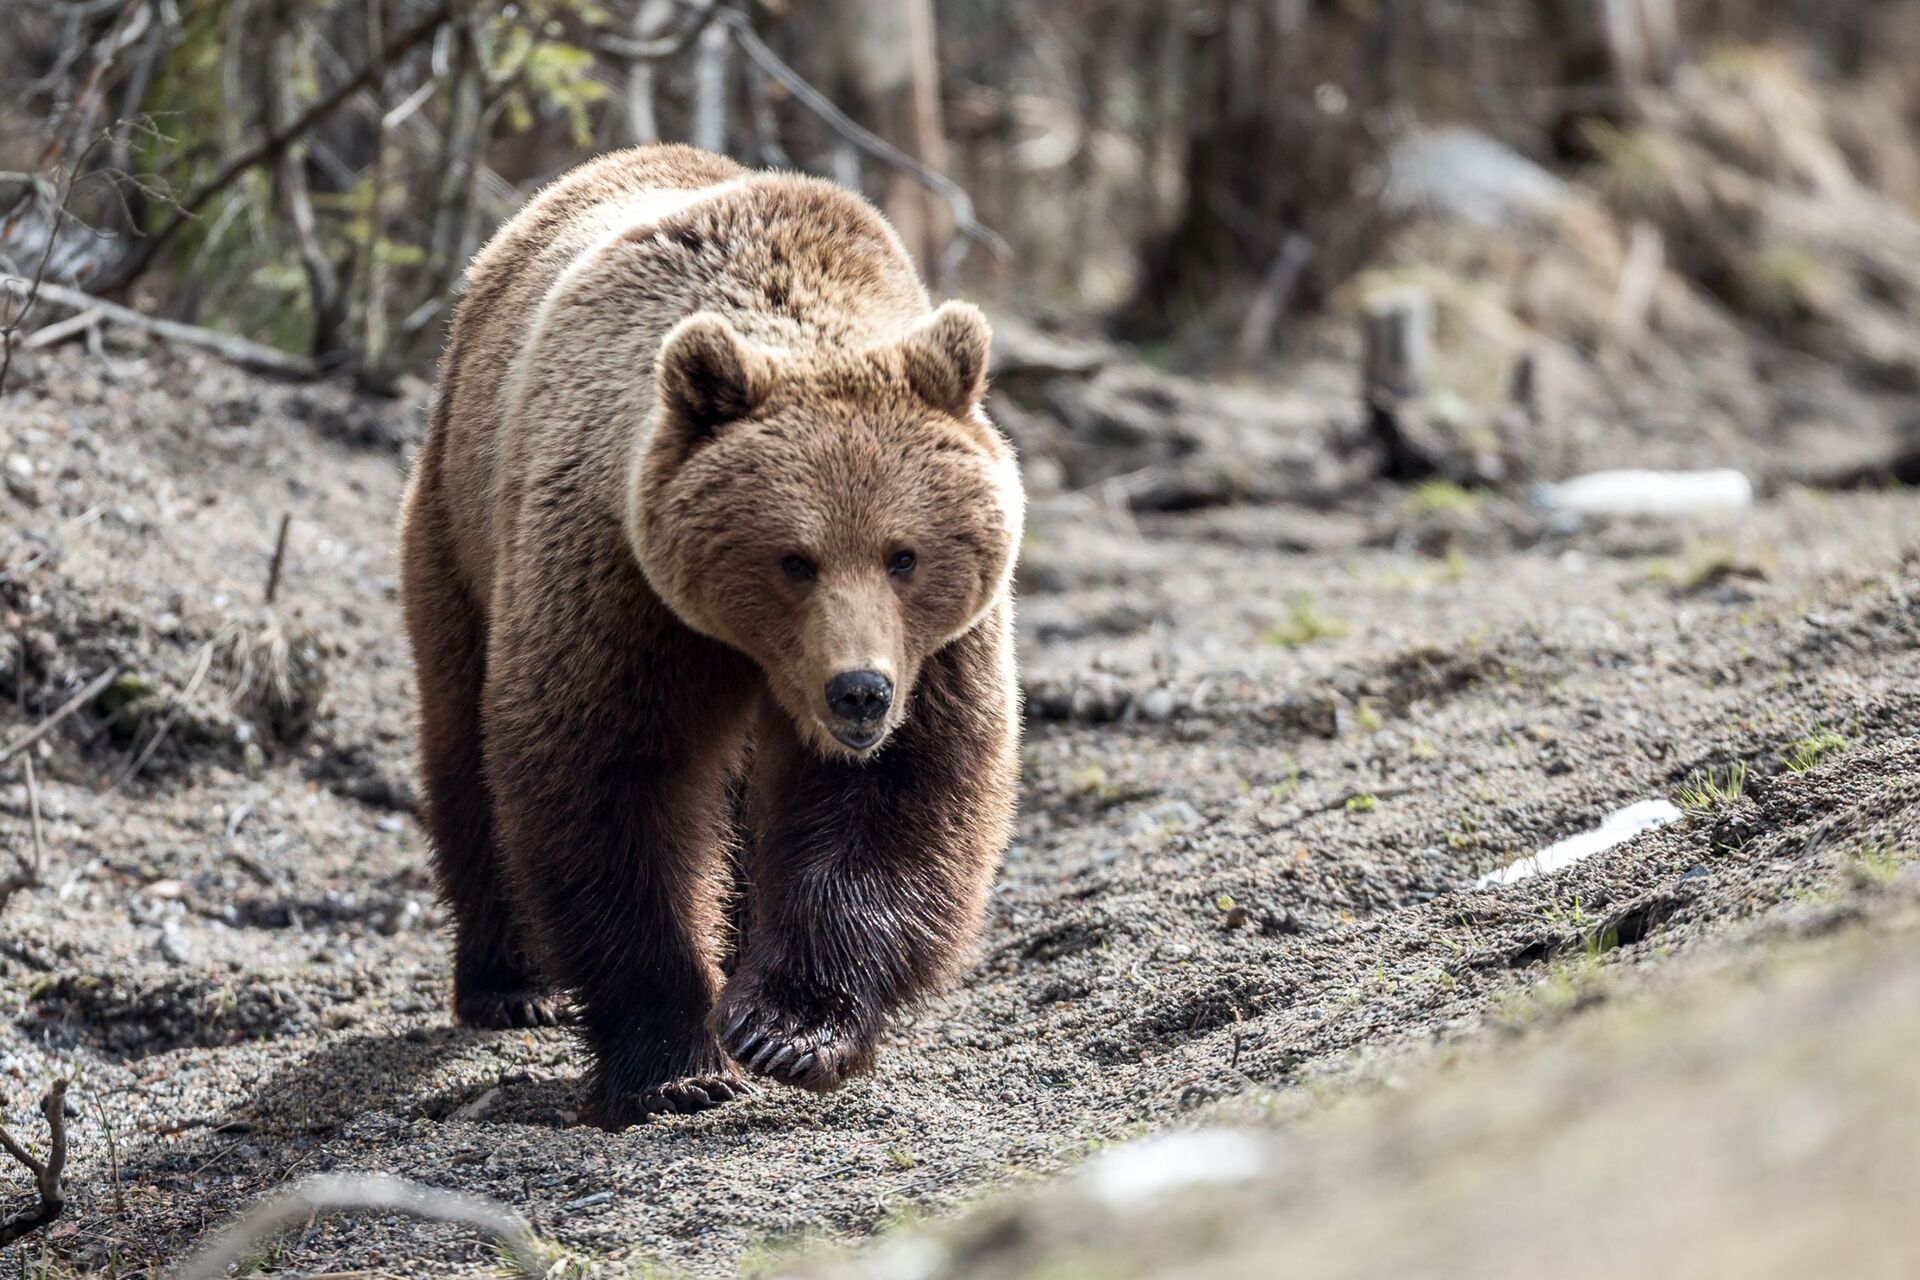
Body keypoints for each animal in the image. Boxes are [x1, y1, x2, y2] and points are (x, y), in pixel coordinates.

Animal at [399, 144, 1029, 1128]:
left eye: (904, 555)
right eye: (794, 558)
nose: (860, 693)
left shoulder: (940, 650)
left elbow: (899, 794)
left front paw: (787, 1028)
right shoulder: (620, 589)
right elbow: (612, 783)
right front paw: (675, 1063)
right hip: (458, 532)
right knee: (465, 745)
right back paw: (511, 983)